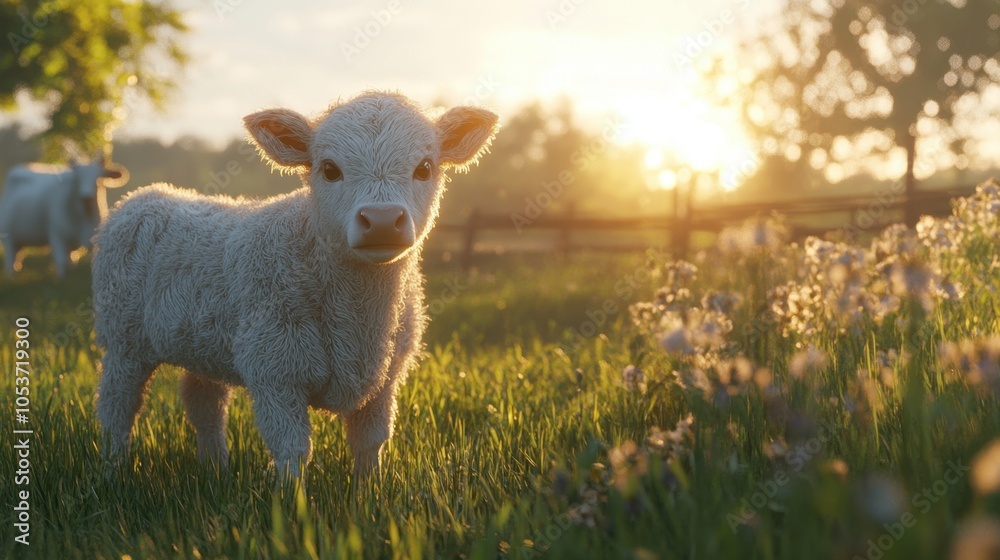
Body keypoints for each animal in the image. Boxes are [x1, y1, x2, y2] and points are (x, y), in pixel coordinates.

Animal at [0, 159, 128, 278]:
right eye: (77, 179)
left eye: (97, 178)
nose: (86, 197)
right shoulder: (57, 236)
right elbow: (61, 262)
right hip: (9, 237)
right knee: (10, 260)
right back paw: (12, 276)